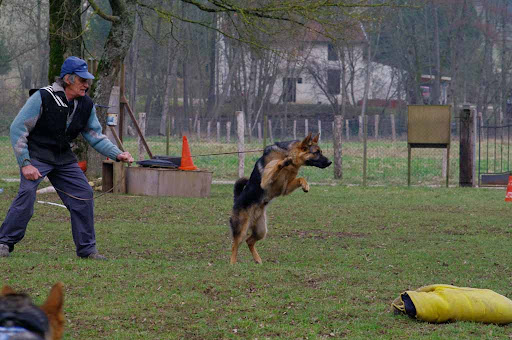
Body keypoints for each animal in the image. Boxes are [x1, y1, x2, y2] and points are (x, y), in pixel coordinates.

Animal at [229, 133, 332, 262]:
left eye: (320, 151)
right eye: (316, 152)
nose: (330, 162)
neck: (288, 154)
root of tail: (236, 201)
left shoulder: (285, 188)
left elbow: (300, 178)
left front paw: (305, 185)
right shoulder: (265, 181)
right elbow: (277, 165)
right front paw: (283, 162)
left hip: (261, 230)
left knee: (249, 241)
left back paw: (258, 260)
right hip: (242, 229)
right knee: (235, 245)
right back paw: (233, 263)